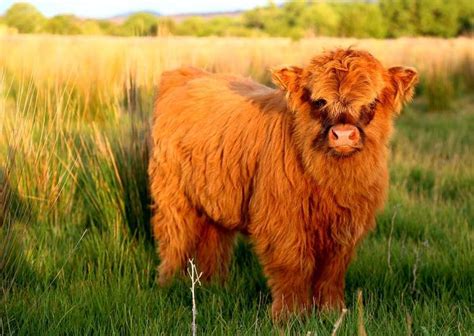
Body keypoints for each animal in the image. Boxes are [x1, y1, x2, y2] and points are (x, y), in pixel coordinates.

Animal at [147, 48, 414, 318]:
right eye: (320, 101)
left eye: (372, 102)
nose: (343, 136)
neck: (331, 177)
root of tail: (185, 74)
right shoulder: (282, 220)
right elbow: (292, 266)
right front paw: (290, 315)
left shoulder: (346, 227)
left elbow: (332, 271)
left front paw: (332, 312)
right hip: (172, 194)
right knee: (175, 238)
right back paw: (168, 284)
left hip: (214, 198)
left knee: (213, 241)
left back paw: (213, 285)